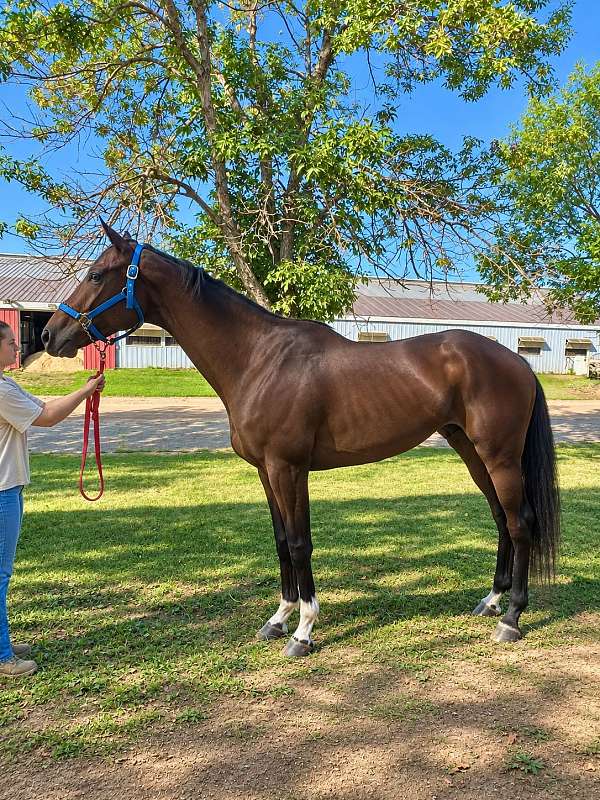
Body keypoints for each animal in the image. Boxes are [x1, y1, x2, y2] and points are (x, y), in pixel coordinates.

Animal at [42, 223, 560, 656]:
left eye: (95, 274)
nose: (49, 335)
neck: (259, 359)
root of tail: (517, 361)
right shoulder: (265, 472)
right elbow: (279, 541)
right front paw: (279, 619)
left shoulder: (288, 468)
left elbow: (298, 543)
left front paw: (304, 631)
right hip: (470, 450)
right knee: (501, 519)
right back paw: (491, 602)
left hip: (499, 456)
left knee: (520, 523)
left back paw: (512, 618)